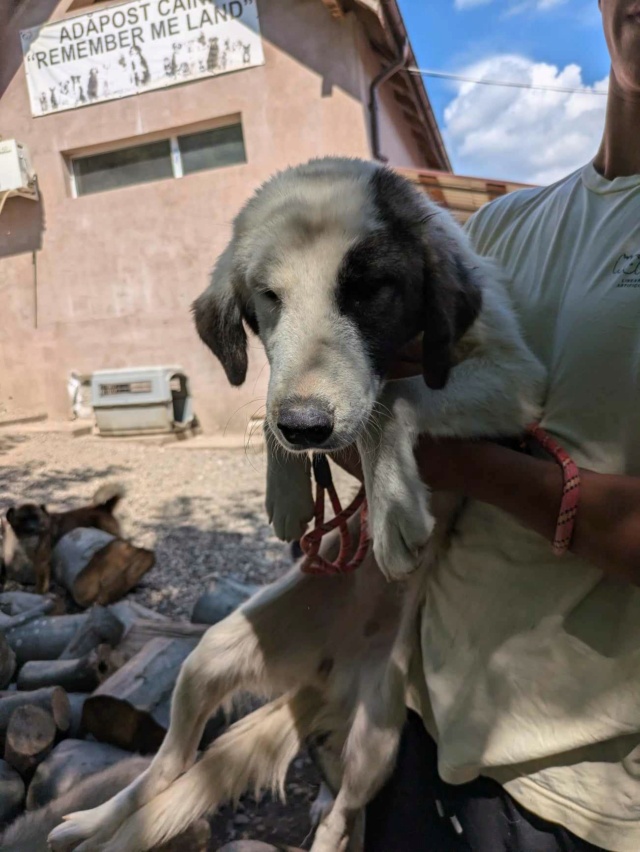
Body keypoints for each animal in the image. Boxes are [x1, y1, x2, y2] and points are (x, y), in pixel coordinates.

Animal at [47, 158, 544, 852]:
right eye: (269, 298)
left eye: (369, 291)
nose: (307, 428)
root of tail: (324, 677)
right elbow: (268, 402)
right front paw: (286, 488)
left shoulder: (517, 378)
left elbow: (396, 396)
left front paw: (393, 511)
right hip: (211, 655)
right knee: (168, 764)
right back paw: (99, 818)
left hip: (379, 734)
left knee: (342, 813)